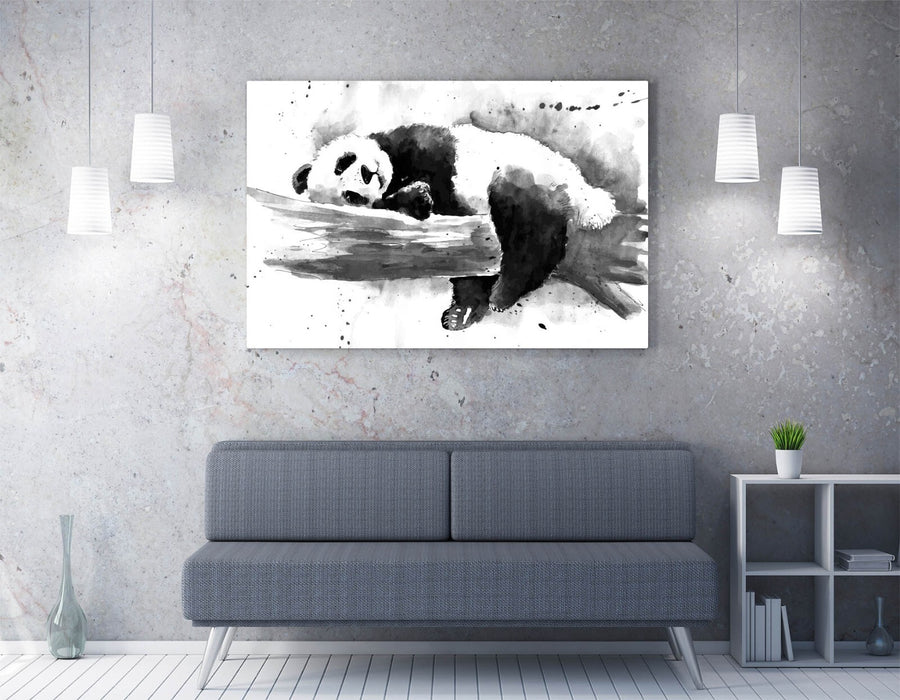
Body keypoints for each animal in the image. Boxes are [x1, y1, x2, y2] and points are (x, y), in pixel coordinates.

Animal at [292, 123, 643, 330]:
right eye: (350, 196)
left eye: (344, 162)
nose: (368, 174)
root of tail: (583, 193)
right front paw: (415, 198)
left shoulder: (416, 143)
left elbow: (437, 163)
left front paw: (419, 192)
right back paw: (468, 309)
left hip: (529, 171)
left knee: (529, 225)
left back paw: (506, 289)